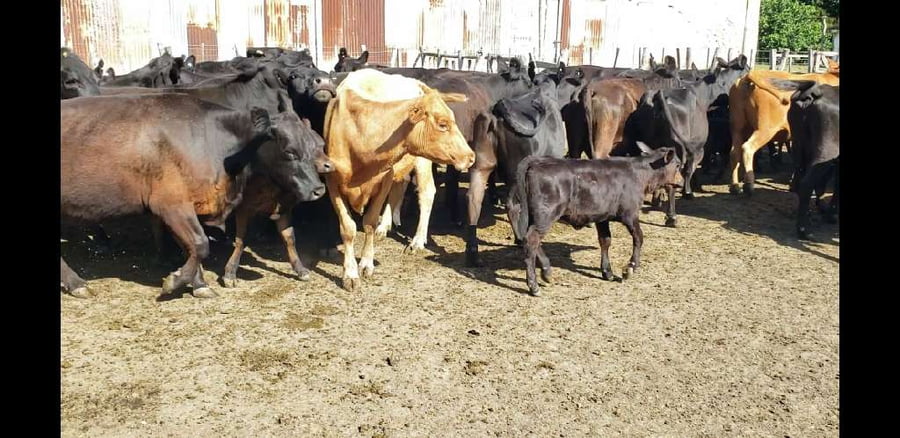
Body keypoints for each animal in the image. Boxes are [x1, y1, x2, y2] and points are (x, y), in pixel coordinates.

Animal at [61, 94, 329, 299]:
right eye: (290, 151)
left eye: (316, 144)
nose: (318, 189)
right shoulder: (171, 205)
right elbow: (200, 244)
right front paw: (175, 282)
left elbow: (191, 247)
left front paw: (199, 285)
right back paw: (77, 284)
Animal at [323, 69, 475, 291]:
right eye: (442, 124)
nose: (471, 156)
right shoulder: (333, 182)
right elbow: (348, 228)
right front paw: (349, 273)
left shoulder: (384, 177)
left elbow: (369, 221)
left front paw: (366, 264)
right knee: (399, 188)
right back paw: (386, 225)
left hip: (421, 160)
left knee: (426, 193)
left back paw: (418, 240)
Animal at [509, 144, 684, 296]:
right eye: (677, 165)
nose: (681, 182)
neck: (639, 173)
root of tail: (537, 161)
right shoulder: (630, 214)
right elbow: (639, 237)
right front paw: (630, 267)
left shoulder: (602, 217)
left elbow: (605, 241)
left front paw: (607, 271)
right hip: (545, 216)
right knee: (531, 240)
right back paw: (534, 285)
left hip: (536, 217)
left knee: (531, 239)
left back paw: (546, 271)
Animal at [727, 59, 840, 195]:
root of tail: (749, 76)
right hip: (765, 129)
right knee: (748, 148)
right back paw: (749, 185)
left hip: (737, 127)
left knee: (734, 152)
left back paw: (735, 186)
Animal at [770, 79, 839, 240]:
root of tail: (813, 94)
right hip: (825, 151)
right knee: (807, 183)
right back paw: (804, 230)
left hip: (800, 146)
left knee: (800, 181)